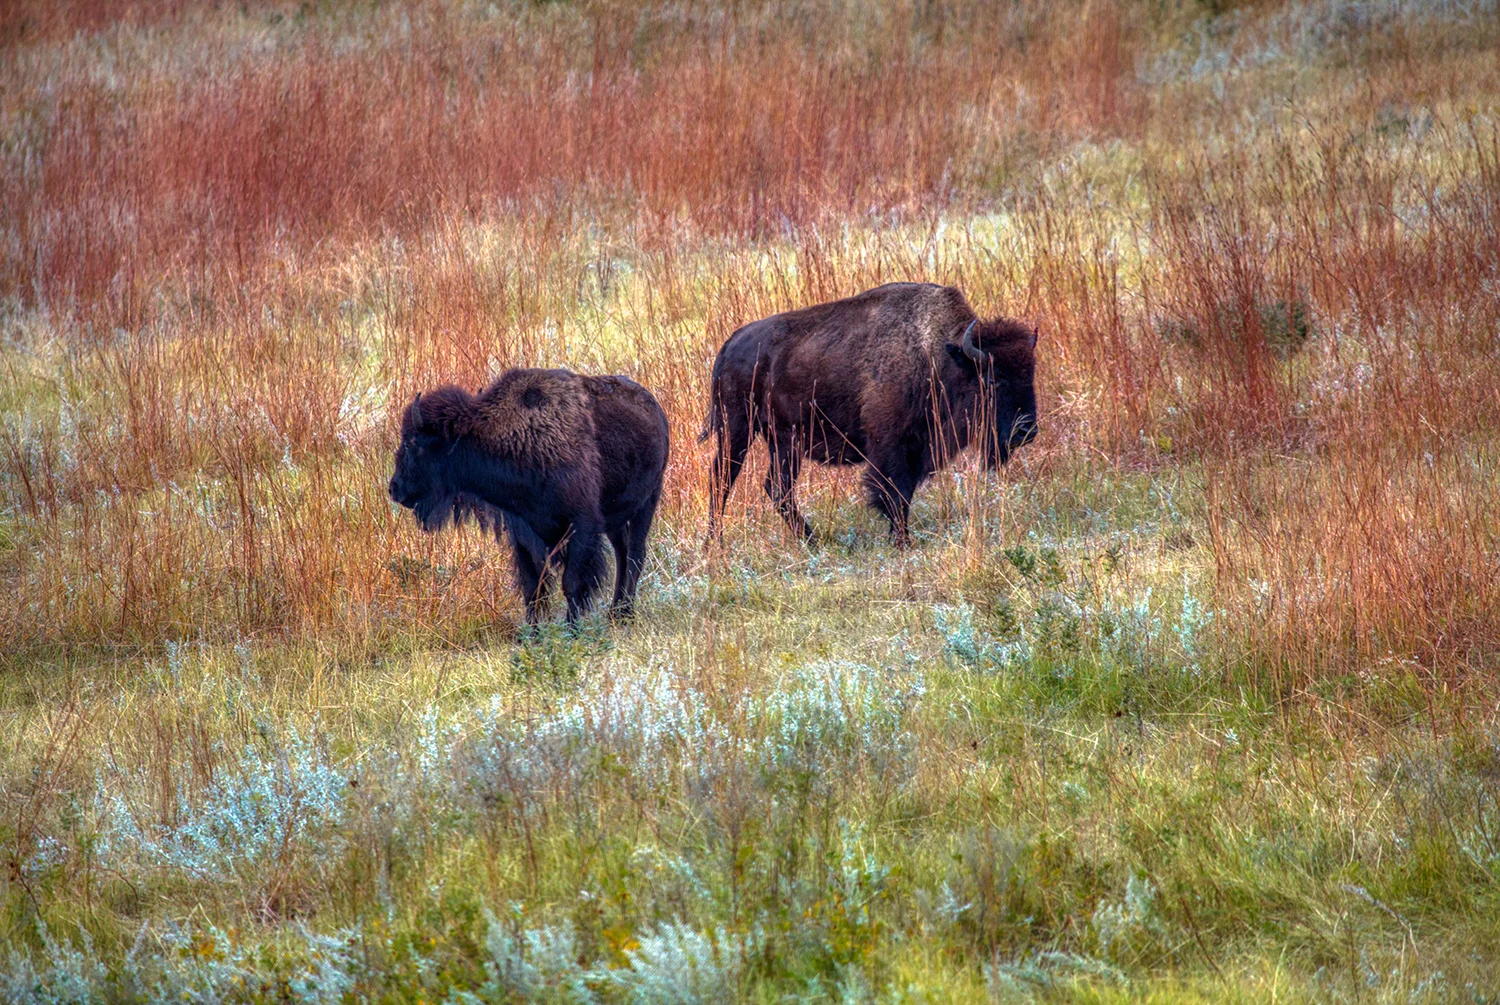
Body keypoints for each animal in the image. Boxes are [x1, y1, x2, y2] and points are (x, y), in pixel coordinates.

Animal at [389, 368, 669, 624]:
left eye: (410, 442)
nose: (394, 488)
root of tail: (655, 407)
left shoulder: (582, 525)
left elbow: (571, 583)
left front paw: (571, 629)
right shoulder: (522, 531)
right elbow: (532, 587)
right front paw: (533, 634)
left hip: (647, 502)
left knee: (635, 554)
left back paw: (625, 614)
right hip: (615, 519)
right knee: (622, 553)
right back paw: (616, 611)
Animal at [702, 282, 1038, 546]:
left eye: (1031, 374)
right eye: (992, 379)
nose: (1027, 431)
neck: (938, 357)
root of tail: (730, 344)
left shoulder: (916, 449)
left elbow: (904, 493)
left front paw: (898, 538)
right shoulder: (890, 445)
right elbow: (894, 492)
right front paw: (902, 542)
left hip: (784, 442)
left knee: (777, 488)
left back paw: (811, 541)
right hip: (738, 428)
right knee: (722, 479)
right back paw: (715, 543)